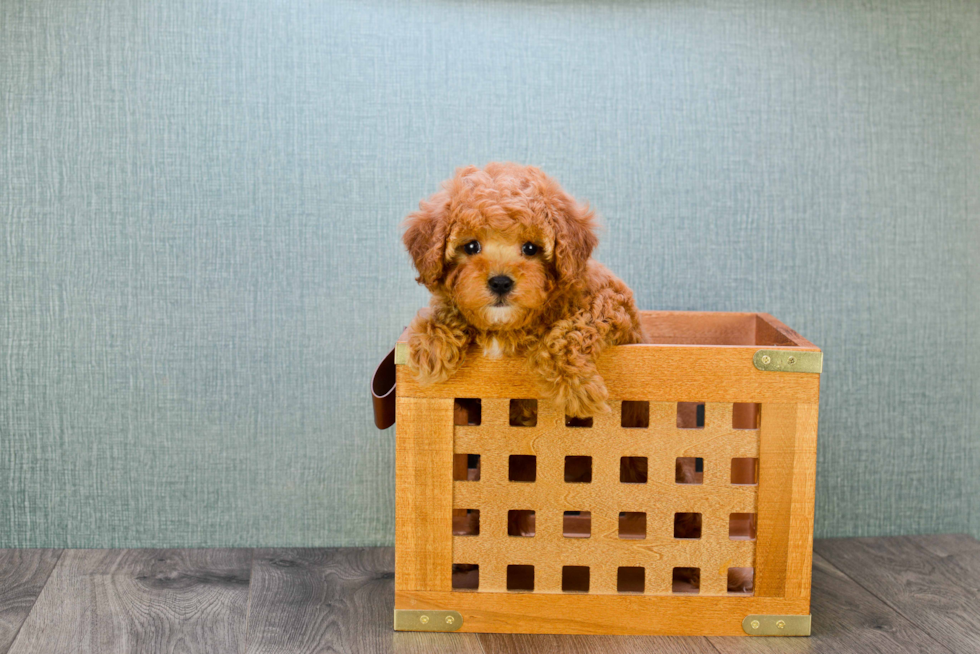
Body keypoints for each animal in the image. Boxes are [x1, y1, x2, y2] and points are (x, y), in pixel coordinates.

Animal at [402, 164, 648, 420]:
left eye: (530, 248)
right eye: (471, 246)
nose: (500, 282)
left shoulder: (613, 303)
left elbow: (573, 327)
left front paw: (576, 387)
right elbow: (446, 308)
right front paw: (431, 344)